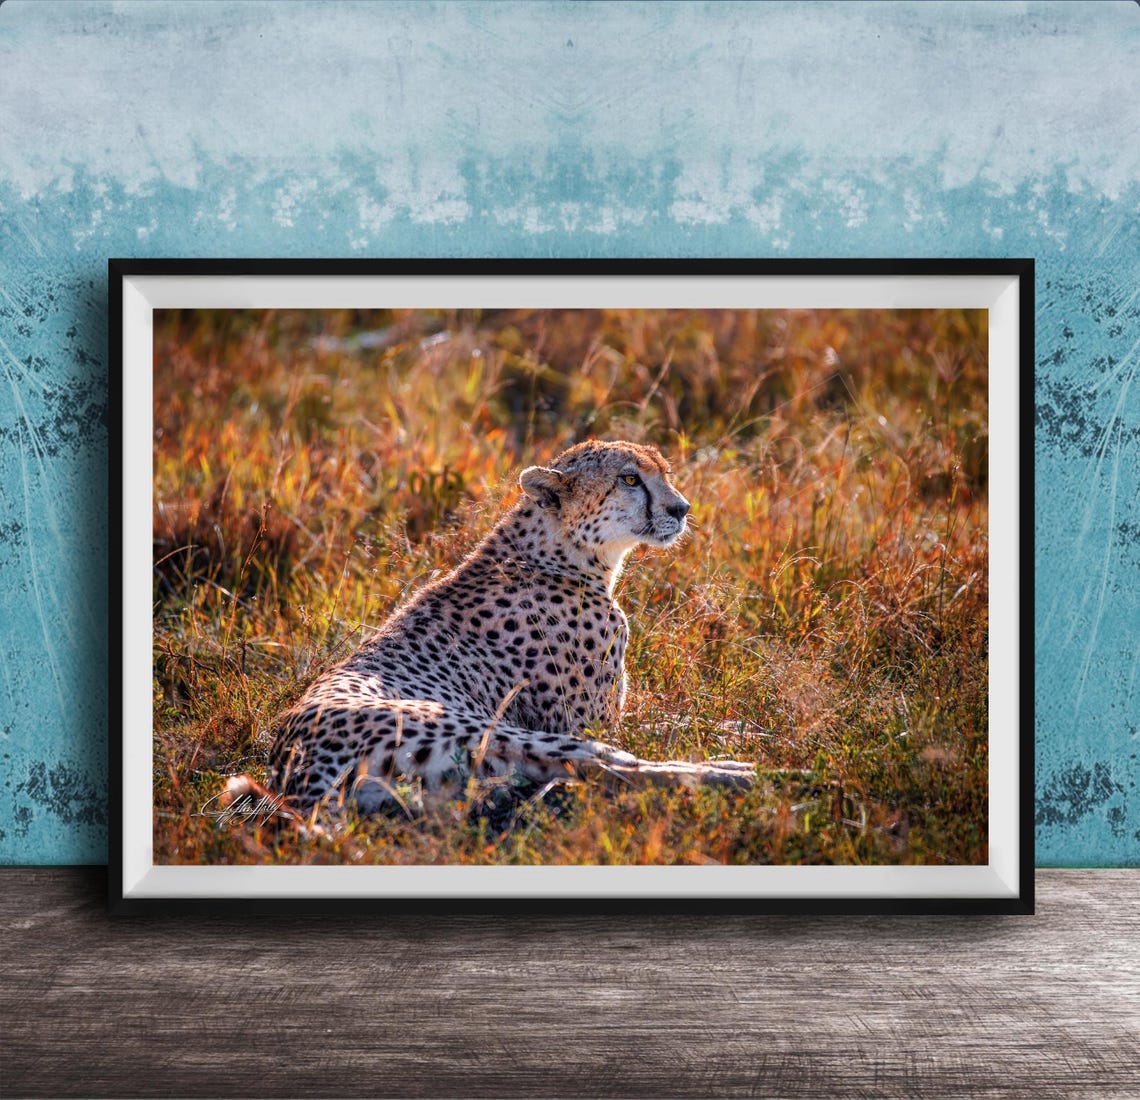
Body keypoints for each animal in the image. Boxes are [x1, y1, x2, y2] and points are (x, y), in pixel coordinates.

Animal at [248, 439, 755, 816]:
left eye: (665, 471)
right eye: (630, 479)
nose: (682, 508)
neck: (559, 553)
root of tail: (294, 772)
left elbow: (680, 717)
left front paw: (736, 724)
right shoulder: (591, 722)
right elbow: (653, 729)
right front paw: (737, 739)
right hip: (486, 730)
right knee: (609, 767)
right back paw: (735, 773)